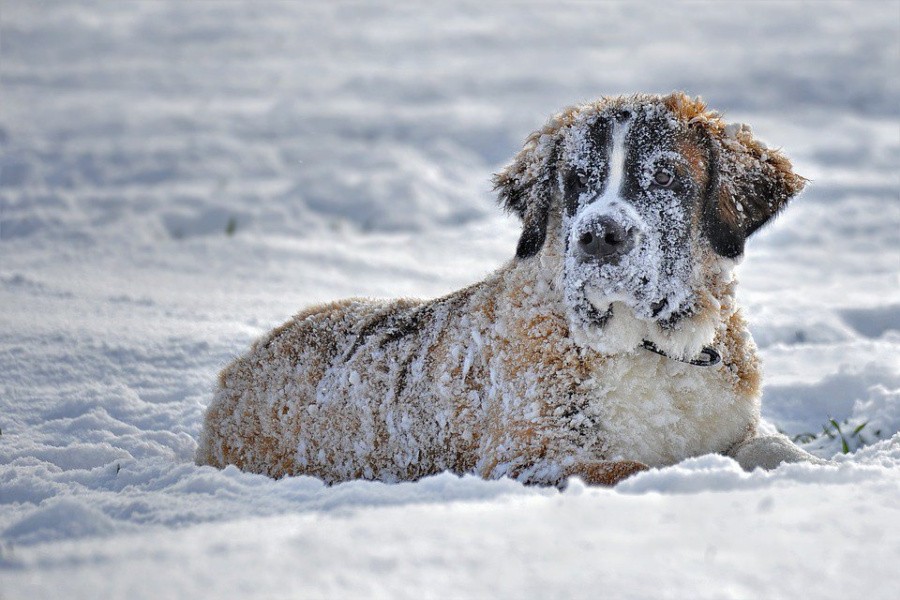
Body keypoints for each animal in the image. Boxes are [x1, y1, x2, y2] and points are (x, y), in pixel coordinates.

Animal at [200, 94, 820, 488]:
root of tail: (238, 369)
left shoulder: (736, 426)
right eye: (575, 181)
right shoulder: (528, 459)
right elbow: (634, 468)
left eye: (665, 177)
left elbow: (778, 450)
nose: (599, 236)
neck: (653, 349)